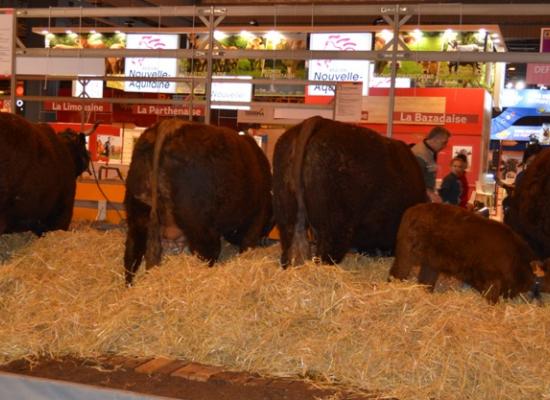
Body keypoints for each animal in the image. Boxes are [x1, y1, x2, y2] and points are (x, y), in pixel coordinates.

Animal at [123, 119, 274, 284]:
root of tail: (171, 125)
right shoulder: (256, 218)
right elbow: (247, 243)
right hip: (200, 227)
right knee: (207, 254)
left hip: (137, 218)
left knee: (131, 256)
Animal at [390, 203, 548, 304]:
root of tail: (412, 210)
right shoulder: (492, 282)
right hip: (406, 255)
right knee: (396, 273)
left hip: (431, 263)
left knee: (425, 281)